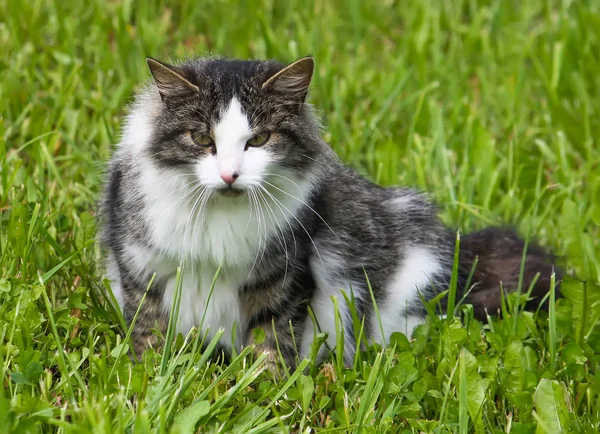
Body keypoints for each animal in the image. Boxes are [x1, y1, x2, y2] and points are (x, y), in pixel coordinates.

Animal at [101, 56, 560, 368]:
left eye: (260, 139)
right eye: (201, 139)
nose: (230, 174)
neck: (219, 218)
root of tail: (460, 252)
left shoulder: (285, 275)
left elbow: (272, 339)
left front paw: (265, 389)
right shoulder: (143, 269)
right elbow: (148, 331)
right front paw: (147, 375)